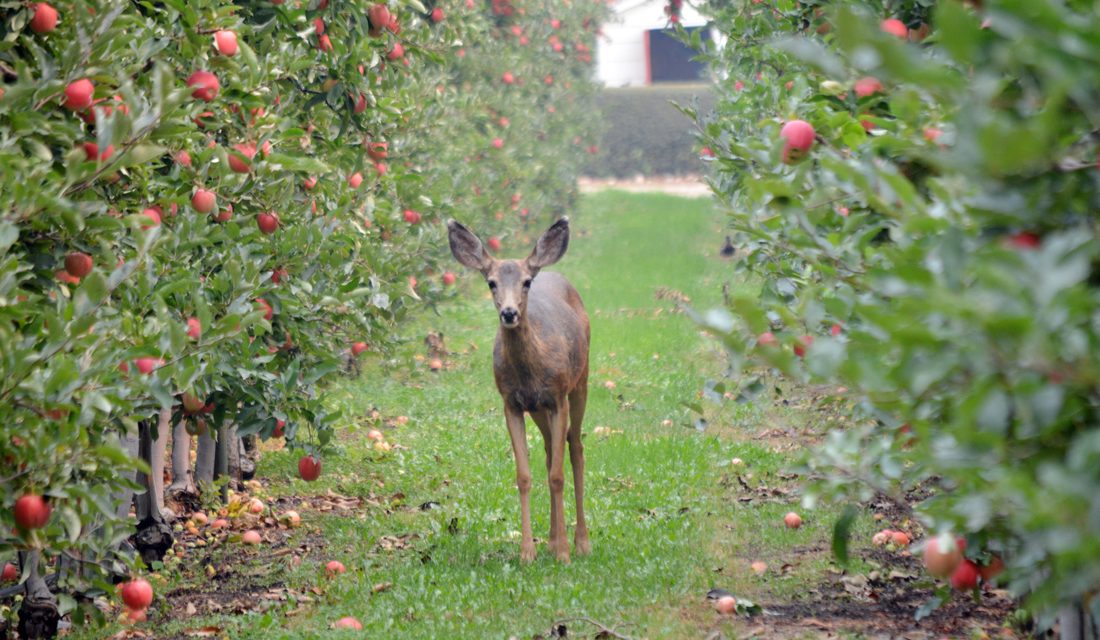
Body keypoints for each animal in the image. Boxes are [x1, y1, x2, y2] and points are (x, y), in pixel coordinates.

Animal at [447, 217, 590, 563]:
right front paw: (528, 552)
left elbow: (557, 476)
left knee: (576, 448)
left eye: (526, 282)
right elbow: (524, 475)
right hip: (538, 409)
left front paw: (564, 553)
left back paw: (581, 542)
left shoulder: (558, 396)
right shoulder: (511, 402)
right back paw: (551, 539)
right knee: (551, 450)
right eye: (491, 283)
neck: (530, 371)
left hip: (581, 381)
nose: (509, 313)